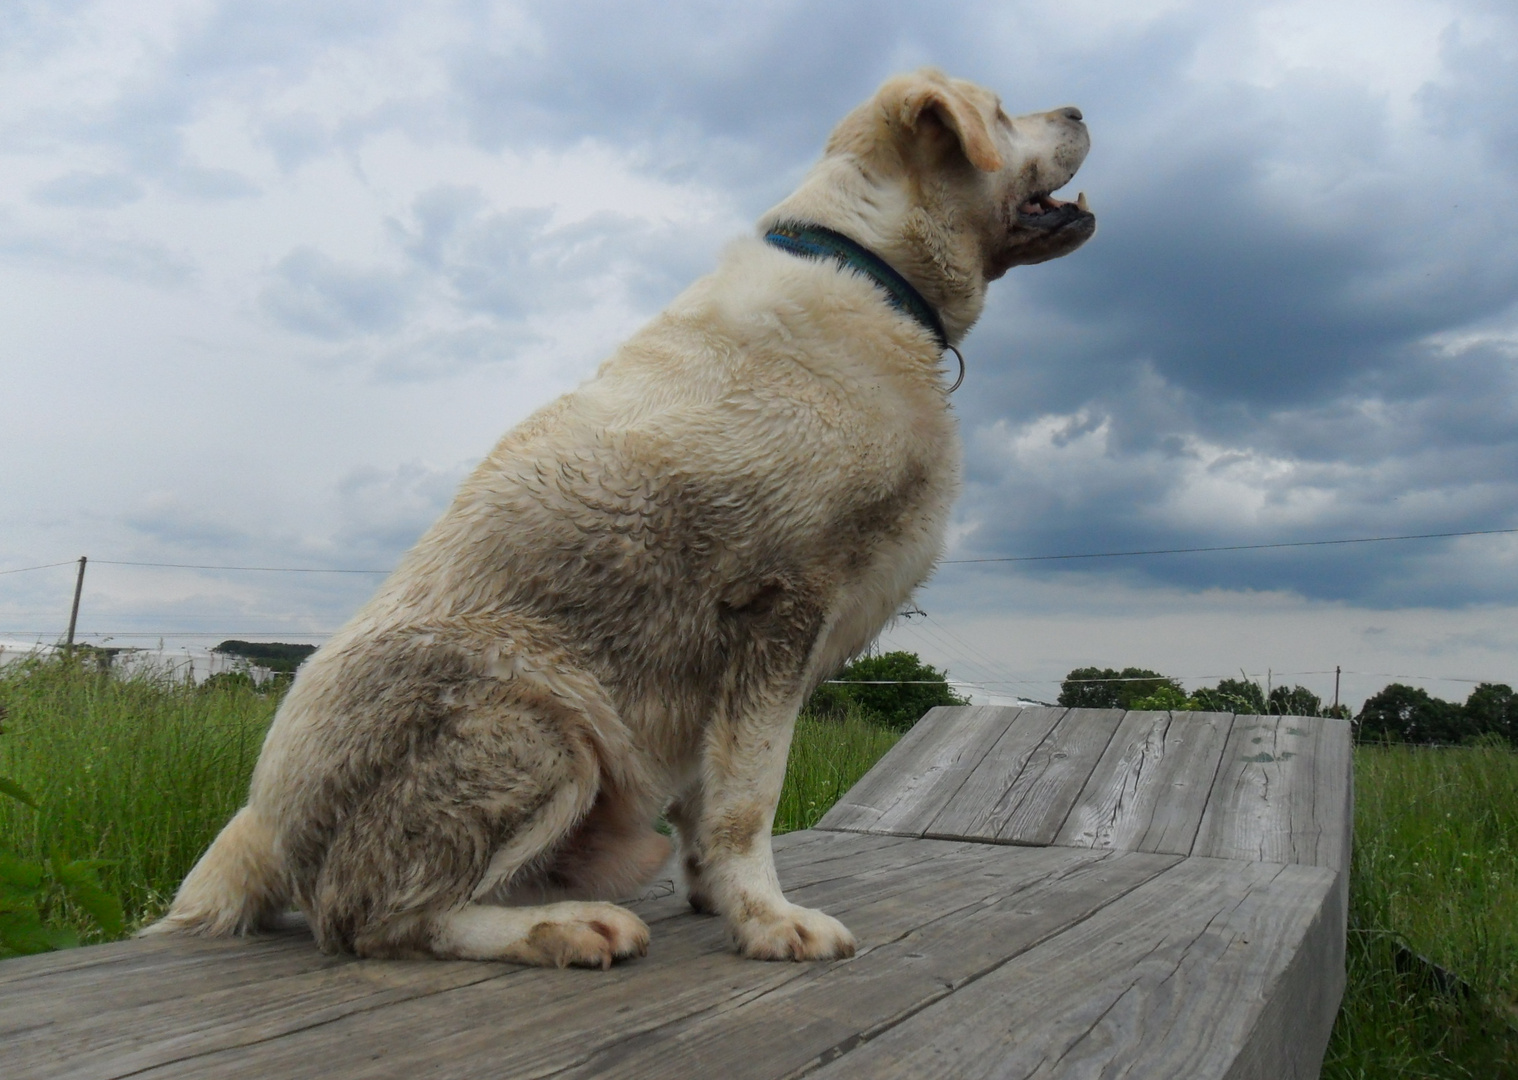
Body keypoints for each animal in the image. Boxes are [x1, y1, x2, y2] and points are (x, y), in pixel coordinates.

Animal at [151, 71, 1092, 978]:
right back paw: (564, 928)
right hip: (539, 728)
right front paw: (770, 920)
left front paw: (719, 899)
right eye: (1000, 113)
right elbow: (749, 798)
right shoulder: (780, 605)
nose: (1081, 110)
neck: (870, 269)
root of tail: (257, 821)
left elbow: (708, 802)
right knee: (372, 920)